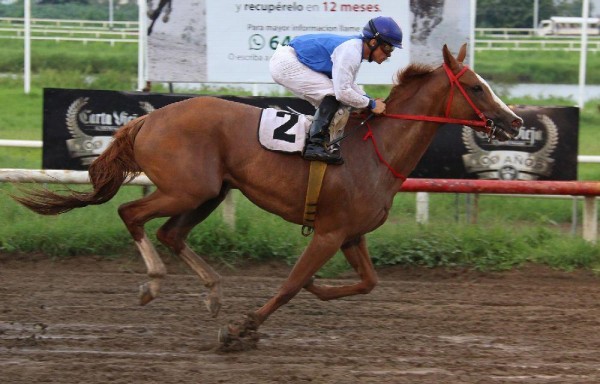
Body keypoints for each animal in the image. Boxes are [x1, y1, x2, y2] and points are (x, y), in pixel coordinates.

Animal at [12, 45, 520, 352]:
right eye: (476, 87)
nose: (514, 122)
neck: (374, 151)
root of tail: (148, 119)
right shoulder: (330, 232)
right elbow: (290, 284)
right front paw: (242, 329)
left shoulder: (351, 235)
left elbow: (367, 283)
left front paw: (317, 289)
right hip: (185, 188)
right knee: (130, 212)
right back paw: (154, 282)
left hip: (210, 191)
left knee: (171, 233)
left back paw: (213, 292)